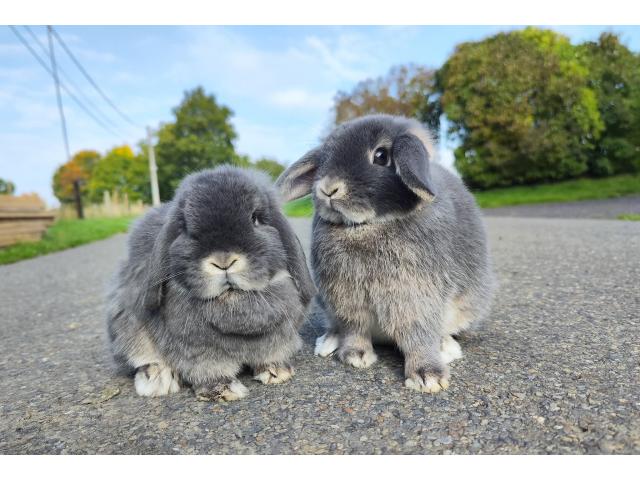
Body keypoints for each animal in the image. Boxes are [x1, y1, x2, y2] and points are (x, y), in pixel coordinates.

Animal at [106, 166, 316, 401]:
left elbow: (271, 356)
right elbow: (208, 370)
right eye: (186, 228)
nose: (223, 261)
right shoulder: (197, 351)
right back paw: (157, 380)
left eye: (255, 218)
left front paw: (277, 372)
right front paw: (224, 390)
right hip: (125, 325)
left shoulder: (279, 338)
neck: (232, 300)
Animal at [276, 114, 495, 394]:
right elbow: (354, 329)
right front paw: (355, 357)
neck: (366, 226)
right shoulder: (347, 301)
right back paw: (328, 342)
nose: (328, 189)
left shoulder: (414, 299)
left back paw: (447, 347)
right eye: (324, 158)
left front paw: (428, 377)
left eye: (381, 156)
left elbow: (418, 335)